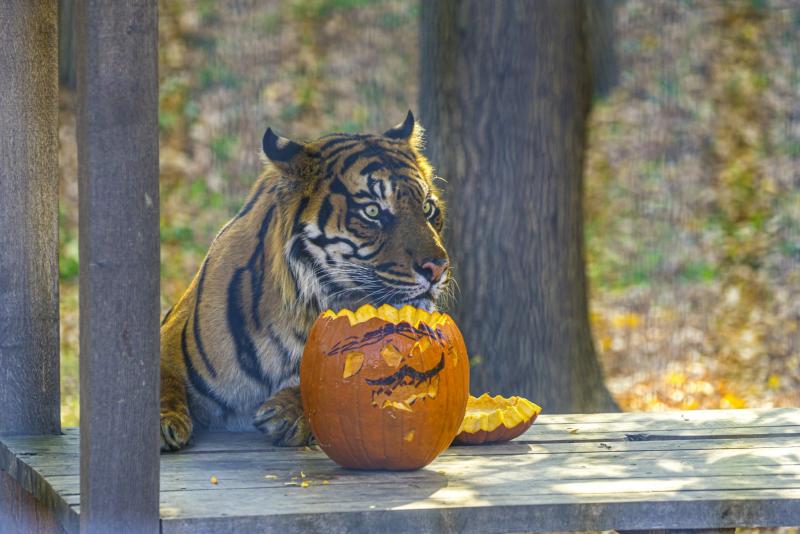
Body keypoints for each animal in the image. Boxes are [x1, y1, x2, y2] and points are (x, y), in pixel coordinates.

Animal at [159, 113, 454, 452]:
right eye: (372, 211)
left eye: (427, 208)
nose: (438, 267)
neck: (297, 317)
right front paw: (164, 422)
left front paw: (286, 413)